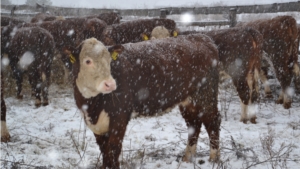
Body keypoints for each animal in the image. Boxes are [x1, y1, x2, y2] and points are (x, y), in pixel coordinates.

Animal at [64, 36, 220, 168]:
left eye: (109, 60)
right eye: (87, 61)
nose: (110, 84)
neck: (93, 105)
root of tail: (203, 38)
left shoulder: (120, 116)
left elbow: (113, 149)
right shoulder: (95, 123)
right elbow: (104, 150)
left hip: (206, 95)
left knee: (213, 121)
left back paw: (214, 159)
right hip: (188, 100)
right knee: (194, 124)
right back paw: (187, 158)